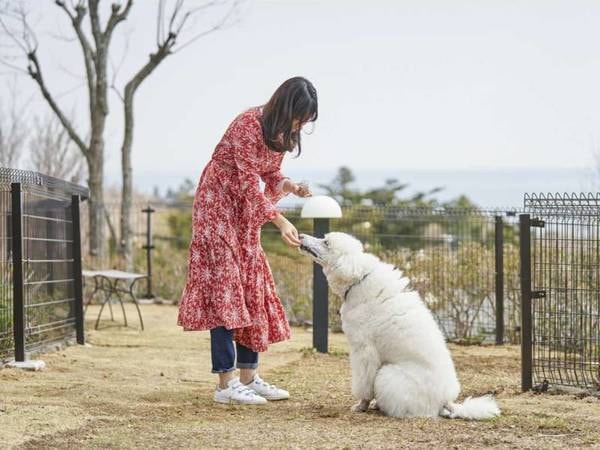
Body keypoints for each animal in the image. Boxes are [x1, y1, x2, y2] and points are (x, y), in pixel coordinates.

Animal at [300, 234, 502, 420]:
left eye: (326, 242)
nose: (301, 236)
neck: (358, 278)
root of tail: (447, 401)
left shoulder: (363, 351)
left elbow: (364, 384)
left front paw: (361, 405)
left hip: (387, 375)